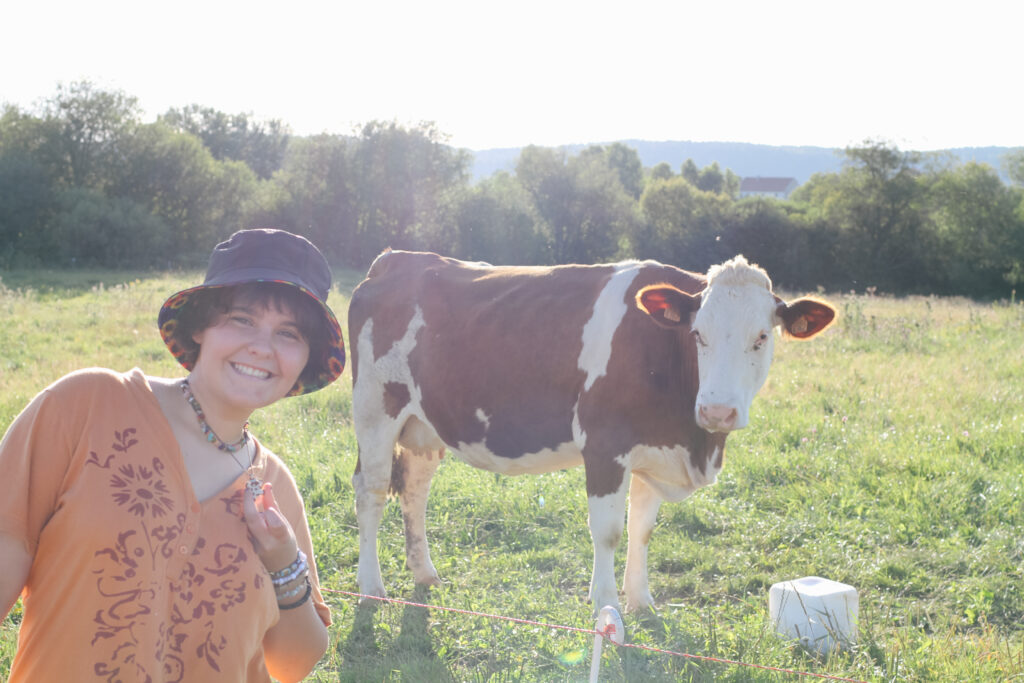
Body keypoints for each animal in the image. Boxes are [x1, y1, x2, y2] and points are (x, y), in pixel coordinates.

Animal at [348, 250, 835, 614]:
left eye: (762, 338)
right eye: (698, 334)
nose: (717, 410)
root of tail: (397, 259)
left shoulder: (654, 450)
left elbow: (642, 530)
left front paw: (642, 603)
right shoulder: (606, 446)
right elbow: (608, 531)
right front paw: (606, 605)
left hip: (424, 425)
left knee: (414, 490)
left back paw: (424, 574)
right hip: (375, 409)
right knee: (371, 491)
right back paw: (371, 587)